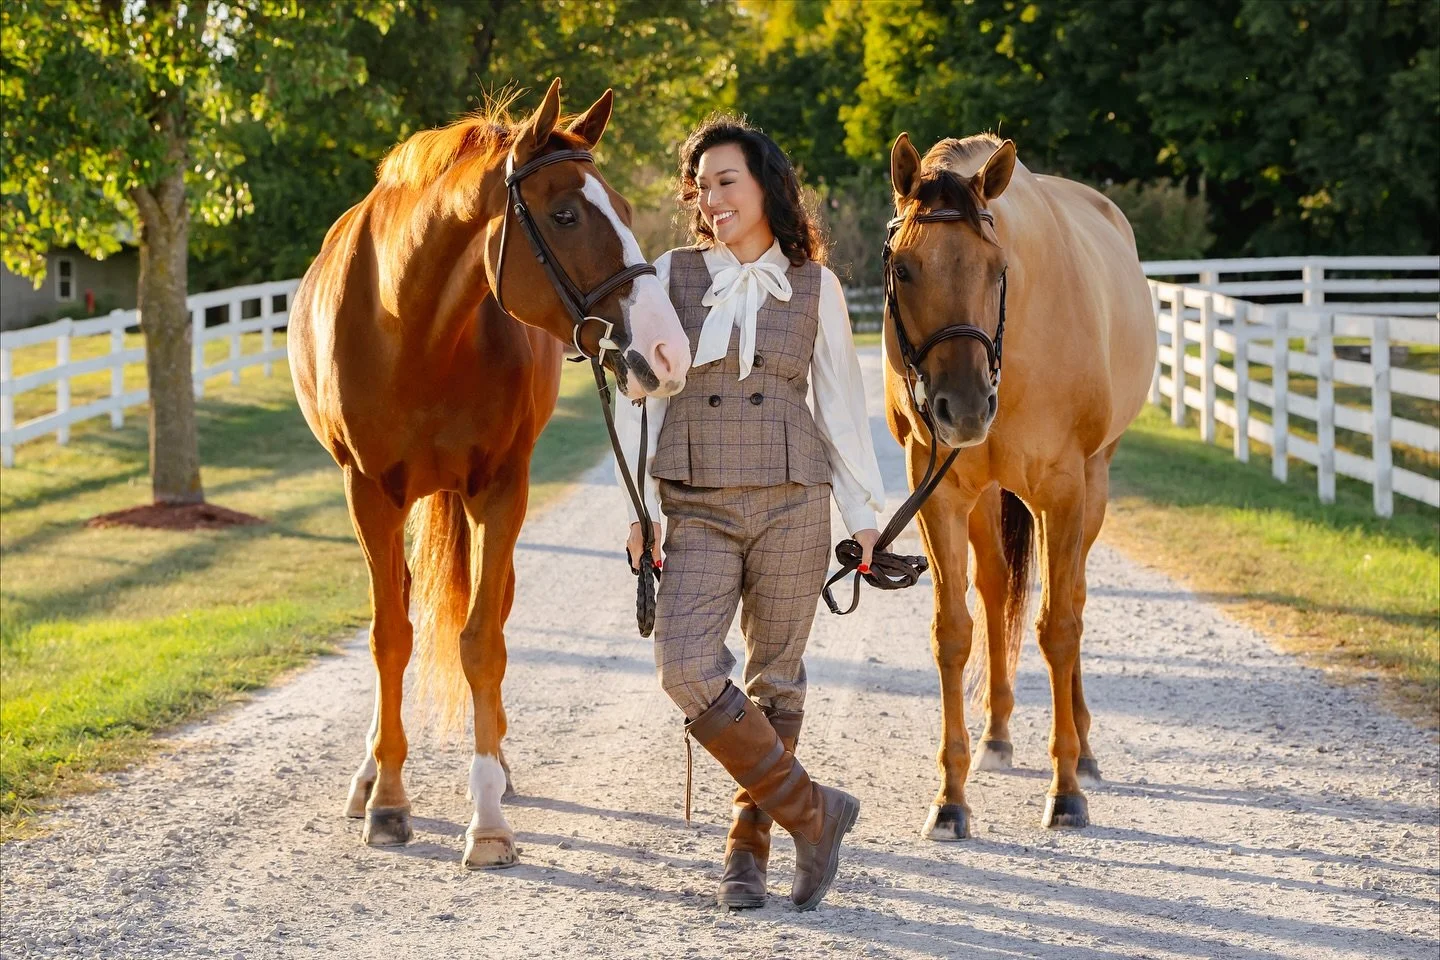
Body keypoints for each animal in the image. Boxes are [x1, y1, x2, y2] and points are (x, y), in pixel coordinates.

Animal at [288, 79, 691, 868]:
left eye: (627, 211)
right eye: (564, 215)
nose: (668, 351)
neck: (413, 331)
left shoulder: (502, 489)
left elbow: (482, 641)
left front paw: (489, 815)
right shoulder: (368, 495)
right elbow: (390, 637)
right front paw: (388, 800)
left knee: (492, 610)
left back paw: (497, 764)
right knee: (402, 609)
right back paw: (370, 770)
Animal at [881, 132, 1156, 838]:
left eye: (996, 268)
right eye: (904, 269)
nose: (963, 408)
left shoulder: (1064, 491)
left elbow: (1058, 628)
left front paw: (1067, 791)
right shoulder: (938, 491)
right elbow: (954, 631)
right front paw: (950, 798)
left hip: (1094, 487)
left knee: (1073, 598)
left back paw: (1084, 750)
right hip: (983, 500)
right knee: (996, 586)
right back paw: (997, 735)